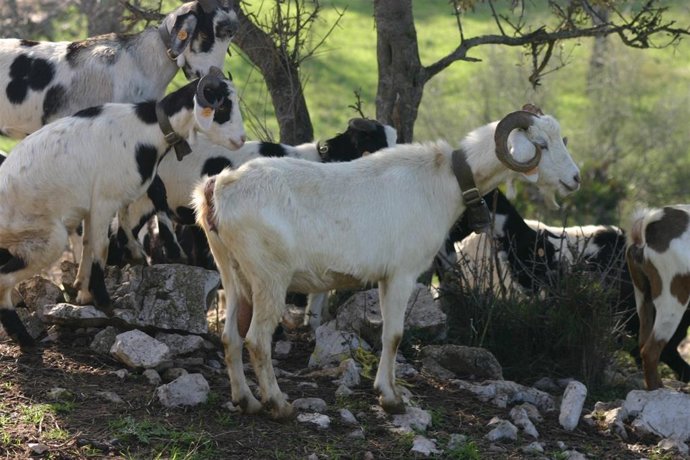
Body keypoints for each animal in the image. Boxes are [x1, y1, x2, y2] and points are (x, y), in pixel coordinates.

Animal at [0, 68, 245, 348]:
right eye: (222, 106)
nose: (241, 139)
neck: (145, 130)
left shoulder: (98, 206)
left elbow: (92, 243)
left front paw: (84, 293)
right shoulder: (104, 201)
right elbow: (101, 247)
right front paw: (104, 302)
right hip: (44, 238)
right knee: (3, 280)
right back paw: (24, 338)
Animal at [192, 107, 580, 419]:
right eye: (542, 145)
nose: (575, 178)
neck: (445, 181)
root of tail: (217, 188)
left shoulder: (382, 277)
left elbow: (386, 335)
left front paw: (387, 391)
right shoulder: (402, 273)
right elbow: (394, 335)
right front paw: (391, 400)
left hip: (233, 271)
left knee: (230, 337)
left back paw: (246, 401)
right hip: (269, 277)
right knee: (257, 340)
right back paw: (279, 404)